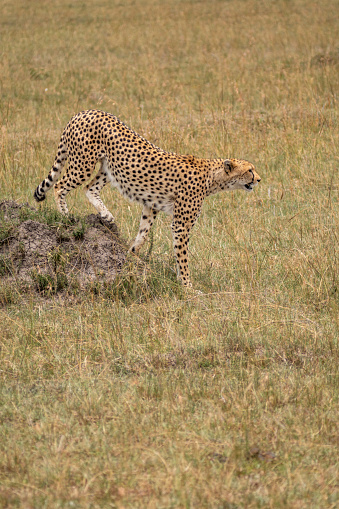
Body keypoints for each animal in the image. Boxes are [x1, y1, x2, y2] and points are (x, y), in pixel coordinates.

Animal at [34, 110, 262, 286]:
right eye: (250, 170)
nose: (259, 179)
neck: (211, 178)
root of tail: (84, 112)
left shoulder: (151, 206)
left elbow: (143, 234)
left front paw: (131, 255)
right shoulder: (181, 225)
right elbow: (182, 256)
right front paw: (187, 285)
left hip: (108, 167)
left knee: (90, 188)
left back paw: (106, 215)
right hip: (83, 163)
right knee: (60, 186)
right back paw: (66, 216)